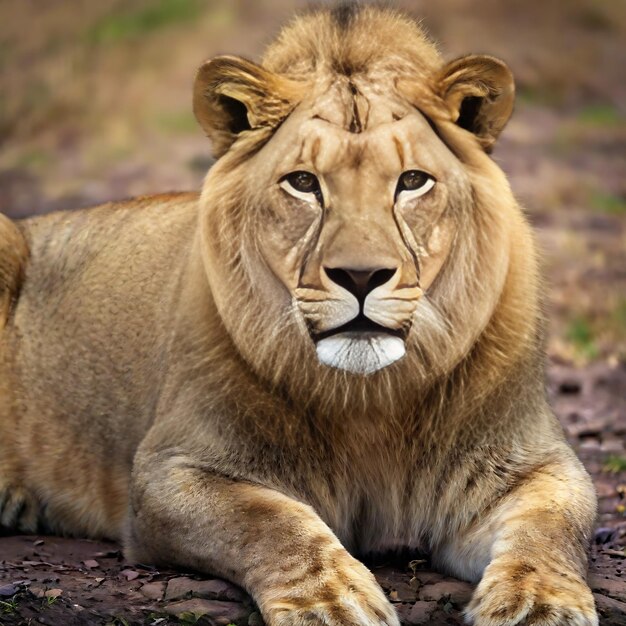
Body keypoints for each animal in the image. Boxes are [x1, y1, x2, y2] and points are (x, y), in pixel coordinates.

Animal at [0, 6, 596, 624]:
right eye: (304, 183)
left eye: (412, 181)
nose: (360, 276)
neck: (370, 401)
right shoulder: (170, 470)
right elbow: (269, 520)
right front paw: (331, 600)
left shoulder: (532, 464)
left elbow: (550, 527)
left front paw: (540, 603)